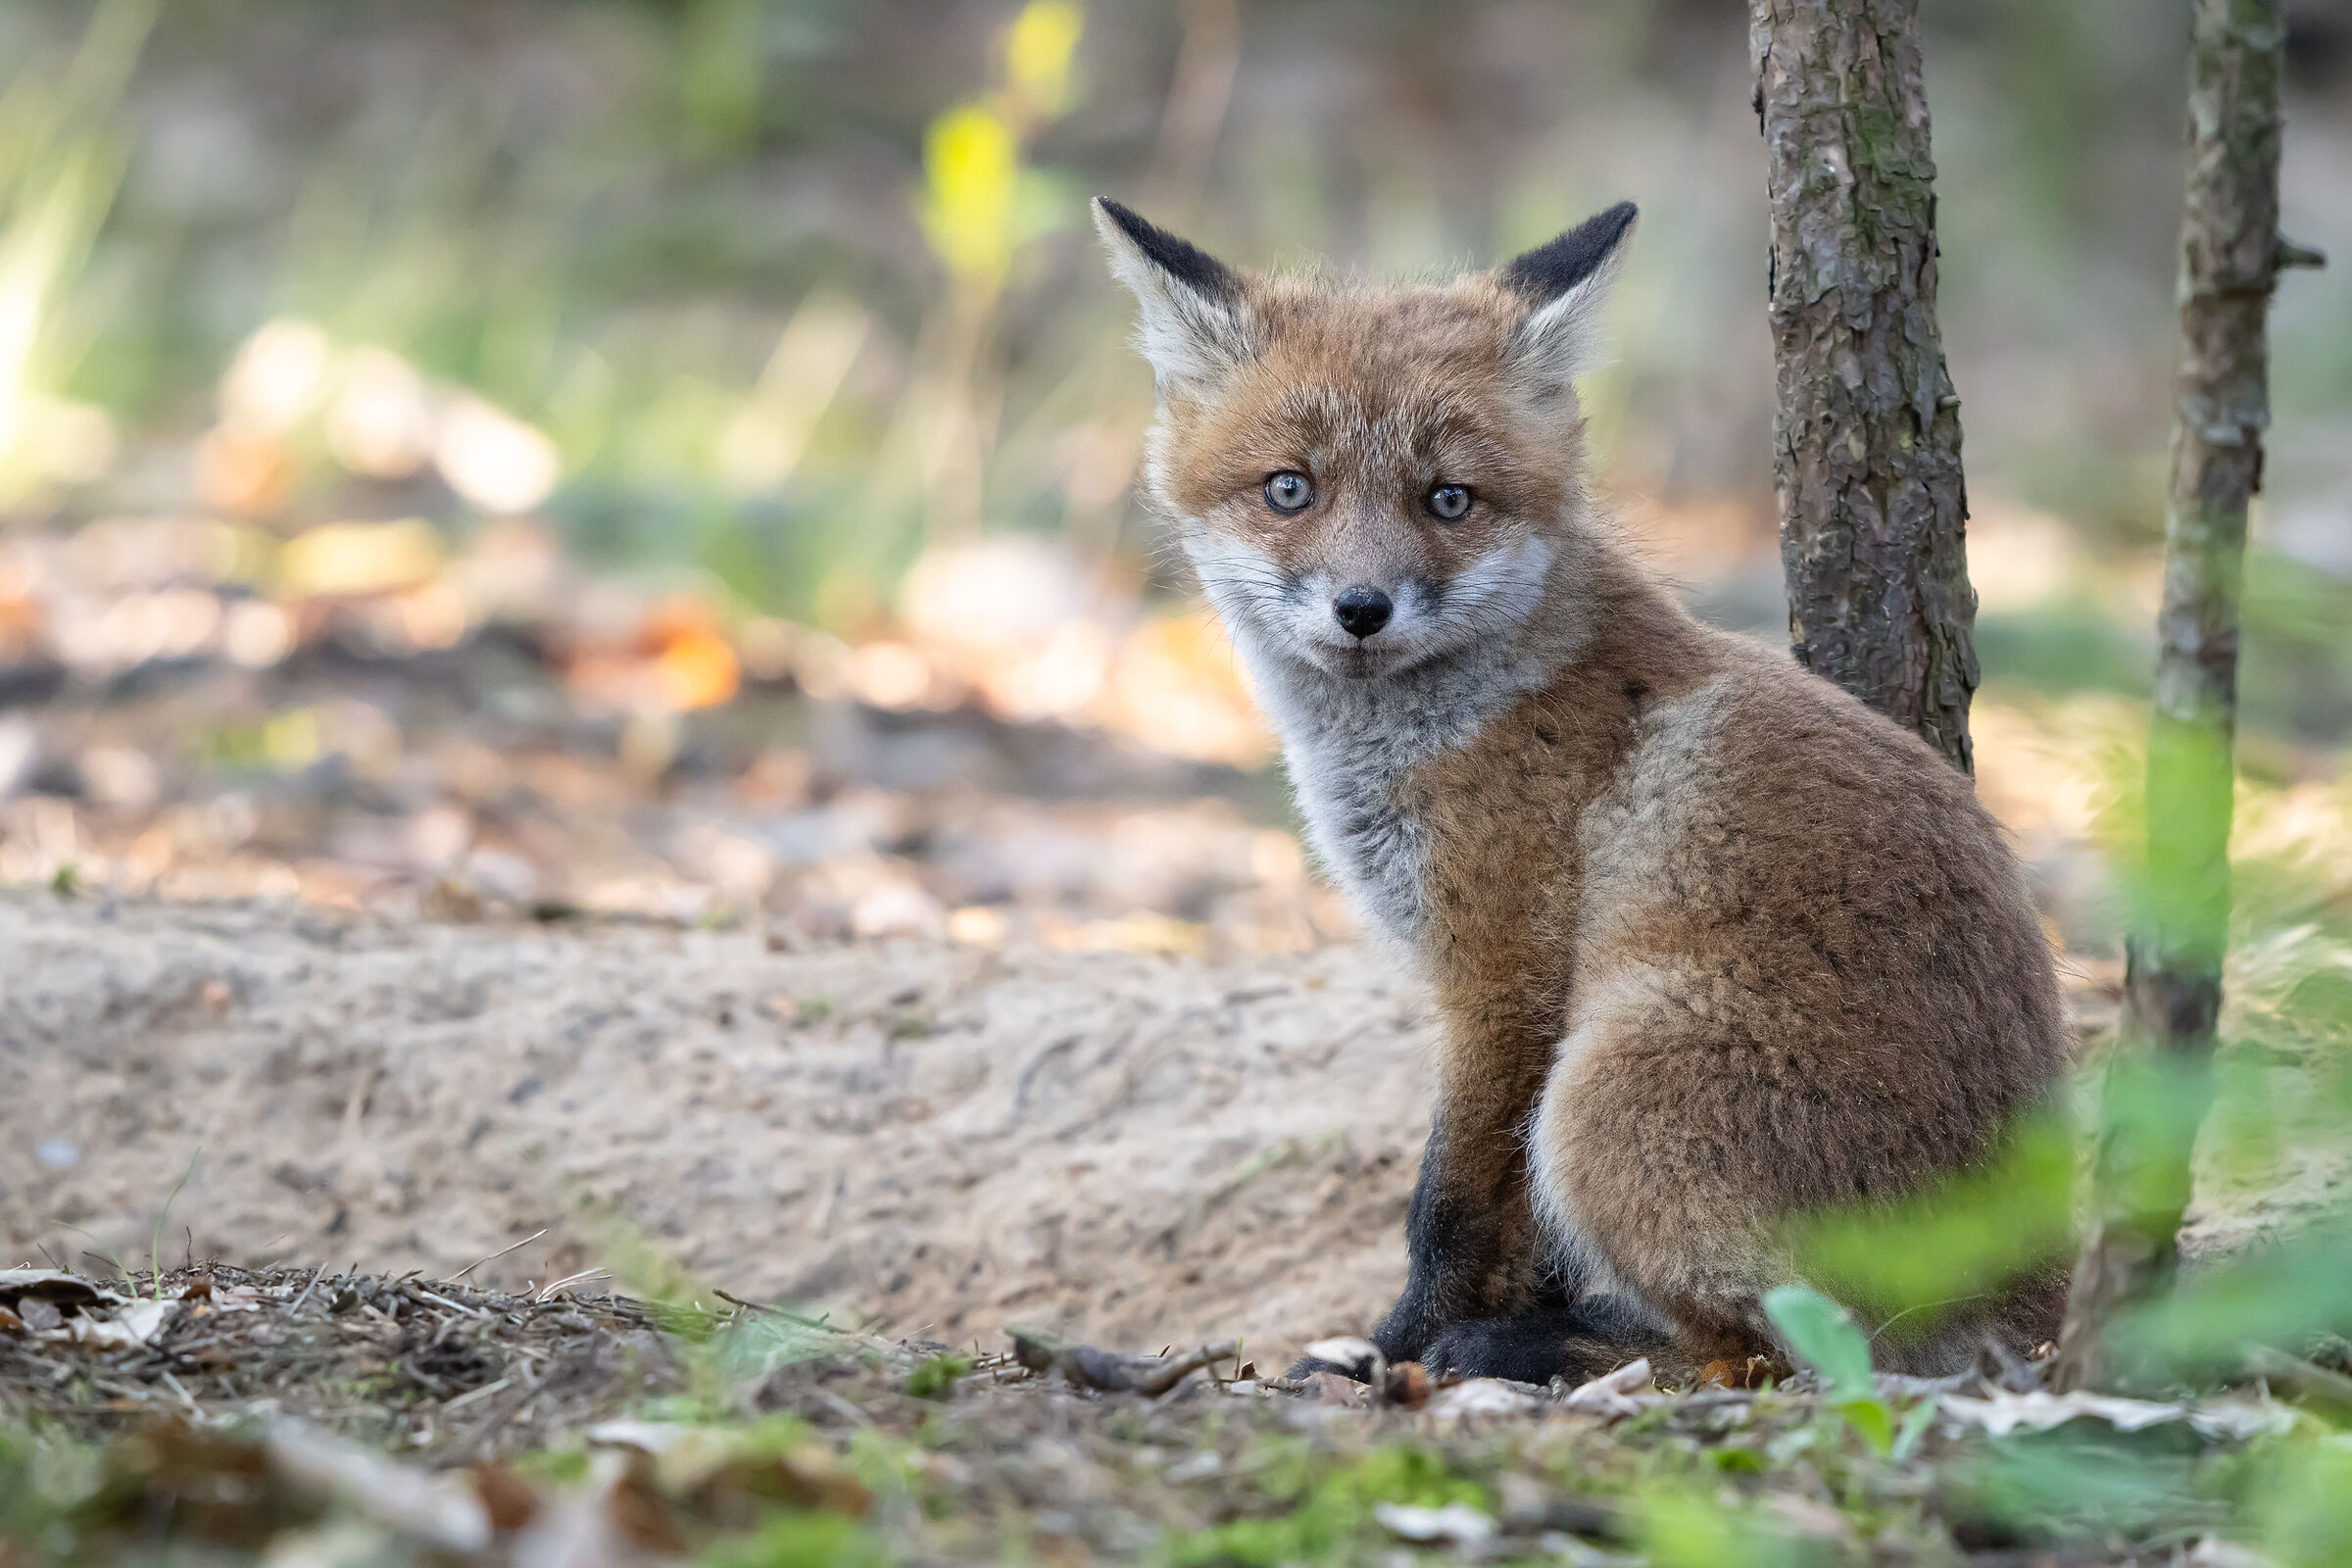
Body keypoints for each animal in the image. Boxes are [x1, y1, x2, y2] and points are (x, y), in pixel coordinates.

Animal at [1092, 195, 2071, 1386]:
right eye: (1291, 488)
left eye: (1449, 500)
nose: (1361, 608)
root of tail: (2038, 1295)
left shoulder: (1507, 975)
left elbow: (1451, 1209)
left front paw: (1400, 1348)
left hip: (1603, 1090)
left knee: (1760, 1351)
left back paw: (1541, 1346)